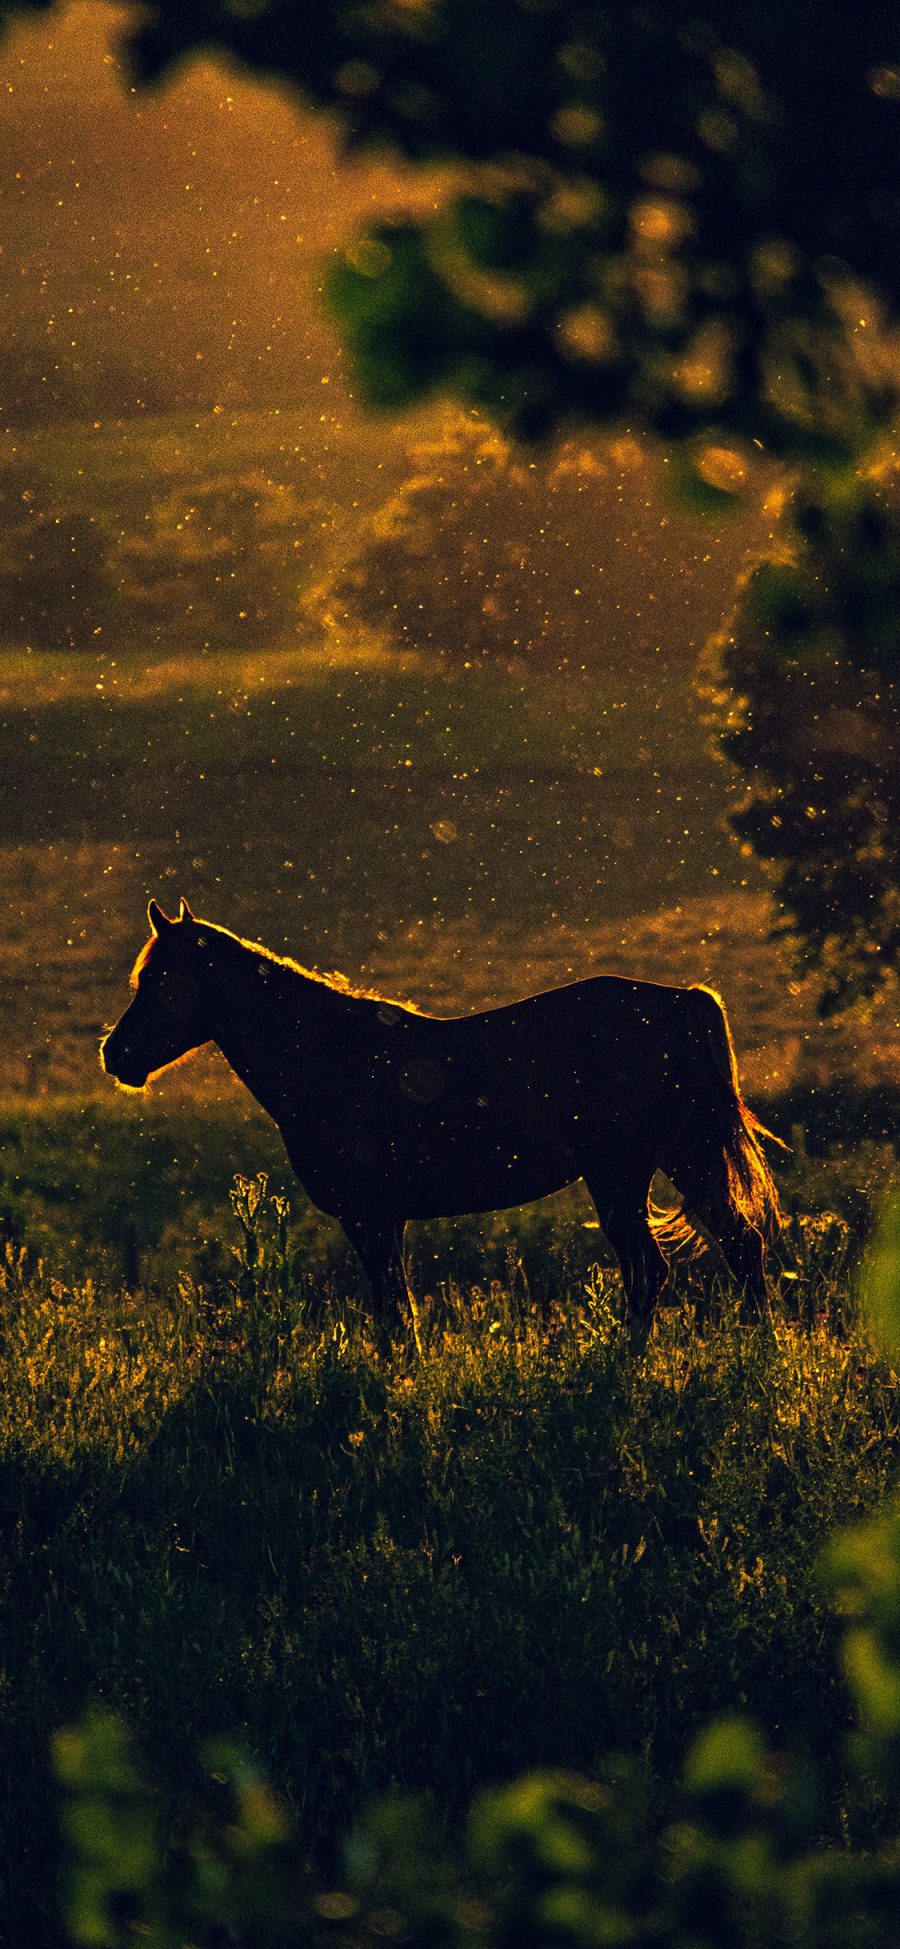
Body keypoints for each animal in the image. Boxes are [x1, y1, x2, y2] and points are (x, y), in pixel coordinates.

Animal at [101, 896, 783, 1340]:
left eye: (161, 981)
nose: (117, 1054)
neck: (329, 1057)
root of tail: (683, 1002)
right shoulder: (386, 1221)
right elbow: (397, 1311)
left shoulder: (370, 1219)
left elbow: (392, 1316)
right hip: (685, 1157)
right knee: (740, 1247)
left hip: (621, 1176)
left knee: (651, 1273)